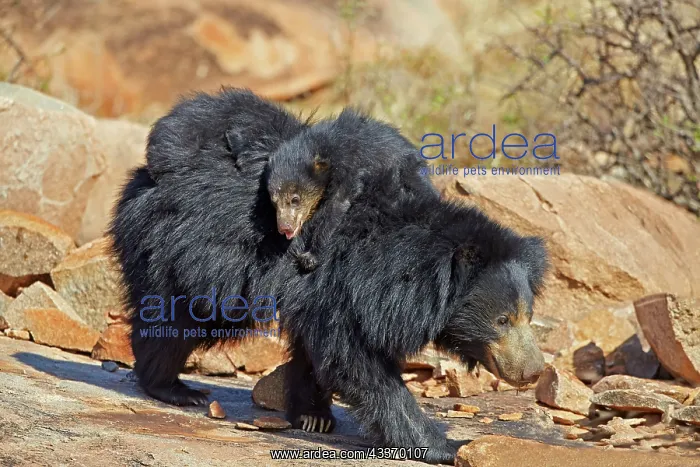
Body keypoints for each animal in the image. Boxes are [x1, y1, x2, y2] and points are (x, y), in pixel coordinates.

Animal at [265, 108, 439, 271]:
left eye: (295, 199)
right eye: (274, 202)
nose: (284, 228)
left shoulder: (349, 166)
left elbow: (337, 205)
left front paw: (310, 257)